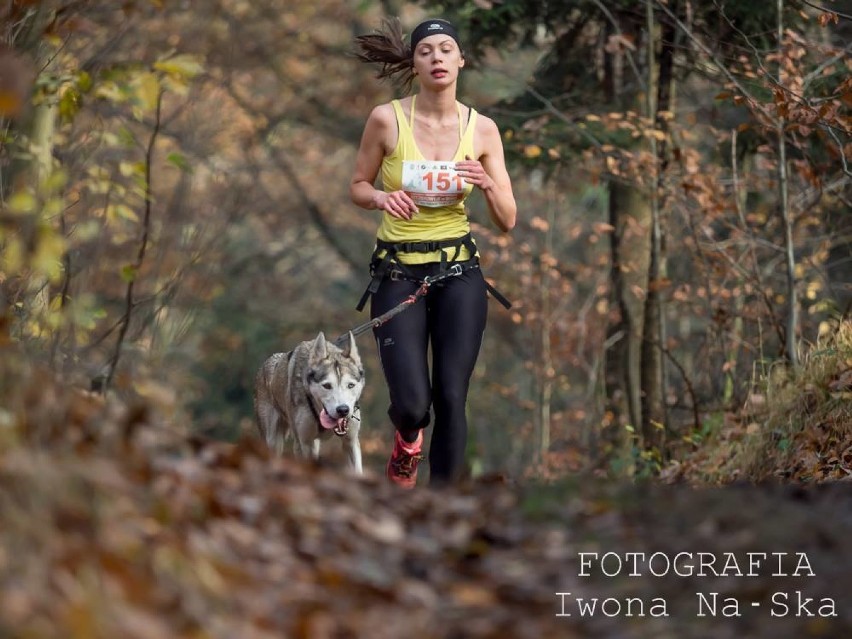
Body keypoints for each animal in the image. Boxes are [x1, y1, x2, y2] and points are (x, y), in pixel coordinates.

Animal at [251, 332, 362, 472]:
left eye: (350, 385)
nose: (343, 410)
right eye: (327, 386)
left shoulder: (350, 442)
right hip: (273, 441)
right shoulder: (304, 443)